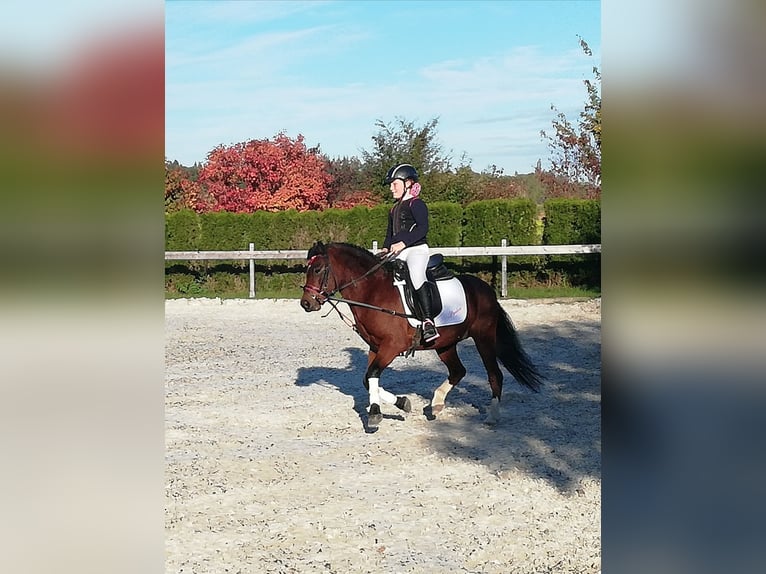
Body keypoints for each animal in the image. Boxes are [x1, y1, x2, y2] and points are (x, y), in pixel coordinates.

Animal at [300, 241, 543, 429]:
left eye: (318, 269)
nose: (306, 303)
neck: (373, 291)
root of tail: (486, 290)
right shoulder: (375, 347)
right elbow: (368, 379)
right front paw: (400, 403)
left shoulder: (392, 346)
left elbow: (372, 374)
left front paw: (376, 413)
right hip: (445, 344)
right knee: (458, 371)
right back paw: (436, 404)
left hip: (483, 338)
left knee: (494, 375)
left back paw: (492, 416)